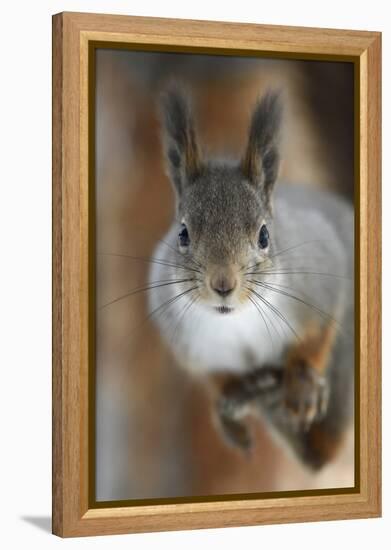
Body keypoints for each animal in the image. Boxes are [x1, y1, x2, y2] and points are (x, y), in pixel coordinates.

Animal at [149, 84, 356, 472]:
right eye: (182, 233)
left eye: (263, 236)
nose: (223, 285)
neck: (236, 321)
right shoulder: (190, 344)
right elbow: (216, 378)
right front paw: (229, 404)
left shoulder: (318, 283)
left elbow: (317, 335)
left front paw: (302, 384)